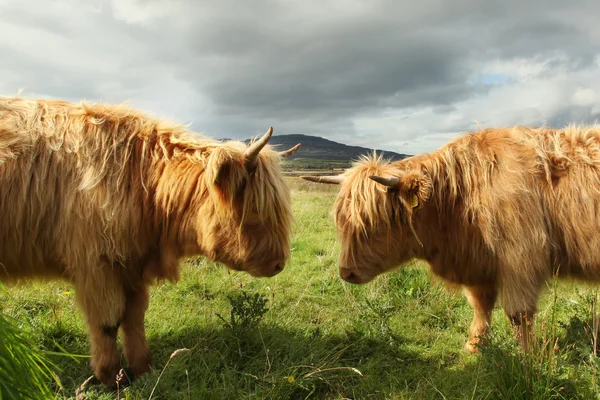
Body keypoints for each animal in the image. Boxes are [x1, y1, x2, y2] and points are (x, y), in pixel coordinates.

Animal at [0, 96, 300, 388]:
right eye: (255, 210)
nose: (278, 264)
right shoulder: (96, 266)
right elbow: (107, 322)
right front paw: (112, 377)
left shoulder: (132, 265)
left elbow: (134, 318)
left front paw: (143, 368)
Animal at [300, 126, 600, 354]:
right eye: (342, 222)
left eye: (376, 224)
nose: (346, 272)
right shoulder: (481, 265)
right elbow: (481, 308)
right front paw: (473, 348)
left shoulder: (521, 261)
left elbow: (519, 315)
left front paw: (528, 359)